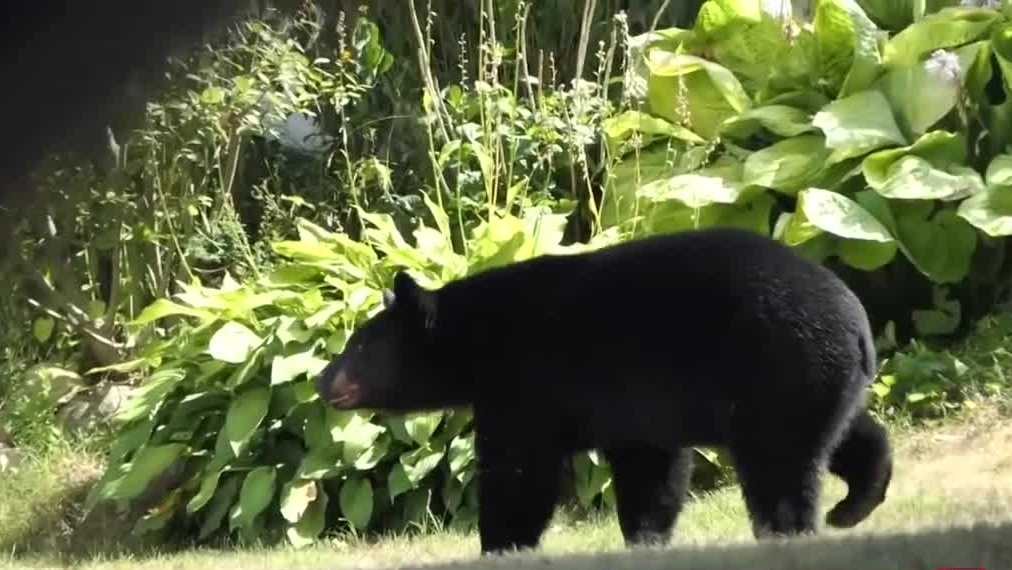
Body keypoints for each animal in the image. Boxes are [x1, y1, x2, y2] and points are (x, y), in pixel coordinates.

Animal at [315, 227, 893, 555]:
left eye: (359, 345)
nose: (321, 380)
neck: (476, 339)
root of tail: (858, 322)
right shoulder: (636, 406)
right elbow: (649, 470)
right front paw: (645, 541)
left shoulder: (528, 380)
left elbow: (519, 472)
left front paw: (500, 546)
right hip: (811, 377)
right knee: (844, 435)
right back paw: (853, 506)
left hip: (777, 363)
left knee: (780, 466)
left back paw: (787, 532)